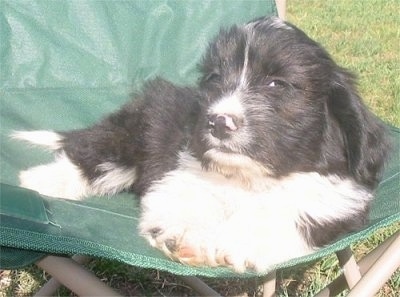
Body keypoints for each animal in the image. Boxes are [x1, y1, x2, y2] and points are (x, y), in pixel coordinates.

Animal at [14, 15, 390, 270]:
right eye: (214, 78)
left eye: (277, 84)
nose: (218, 122)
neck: (251, 179)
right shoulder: (180, 174)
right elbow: (188, 200)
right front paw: (187, 237)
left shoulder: (333, 204)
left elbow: (286, 216)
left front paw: (236, 243)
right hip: (131, 134)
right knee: (93, 154)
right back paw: (40, 180)